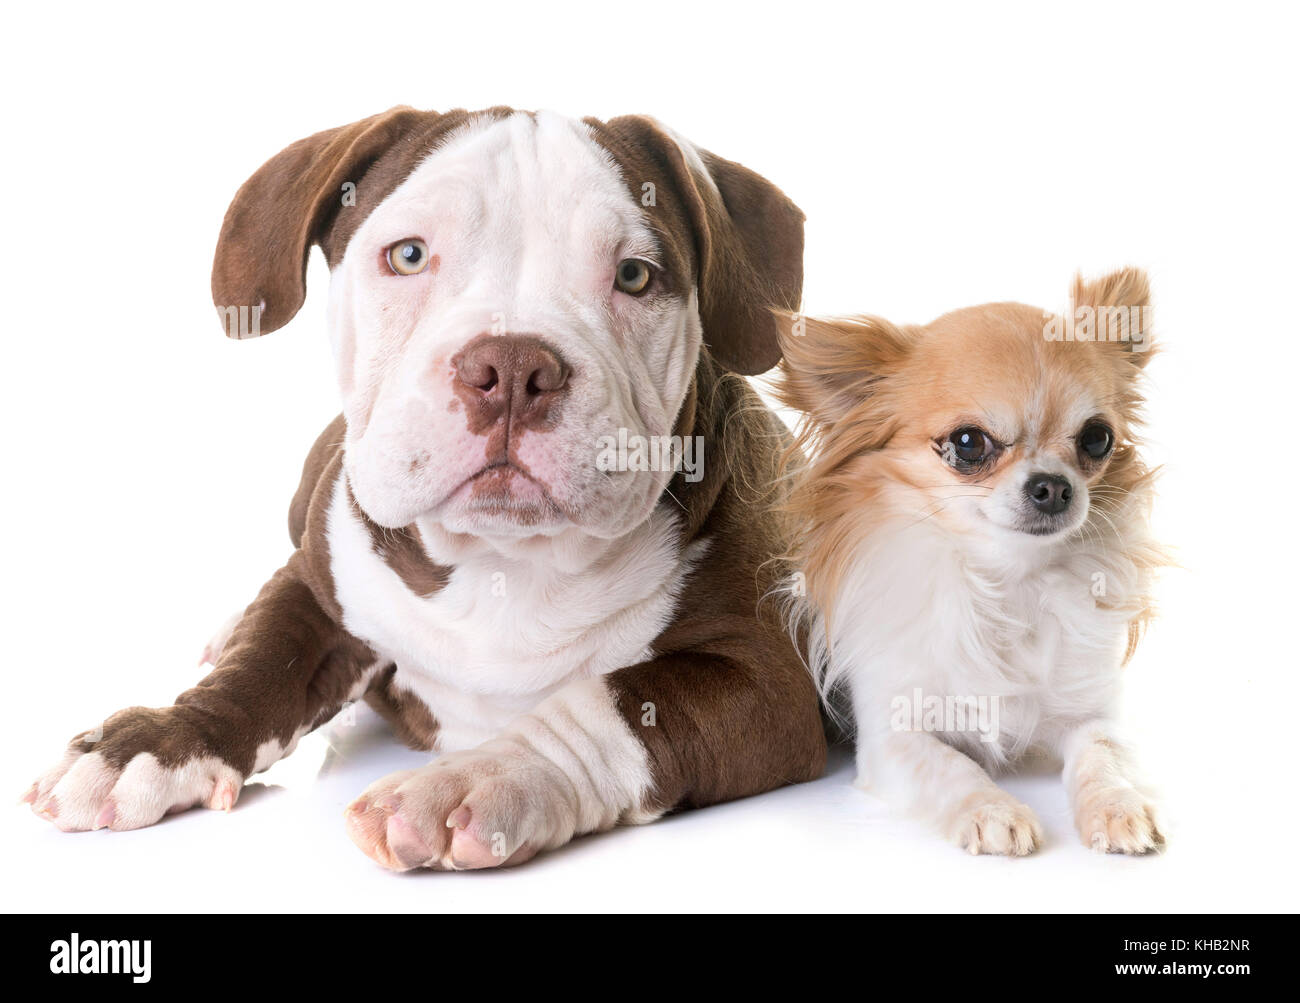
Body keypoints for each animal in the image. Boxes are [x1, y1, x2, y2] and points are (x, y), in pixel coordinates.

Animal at [22, 105, 821, 867]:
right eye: (408, 256)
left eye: (634, 276)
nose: (512, 367)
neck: (504, 560)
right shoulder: (320, 581)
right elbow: (263, 663)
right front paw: (152, 744)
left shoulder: (763, 684)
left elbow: (609, 703)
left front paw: (479, 778)